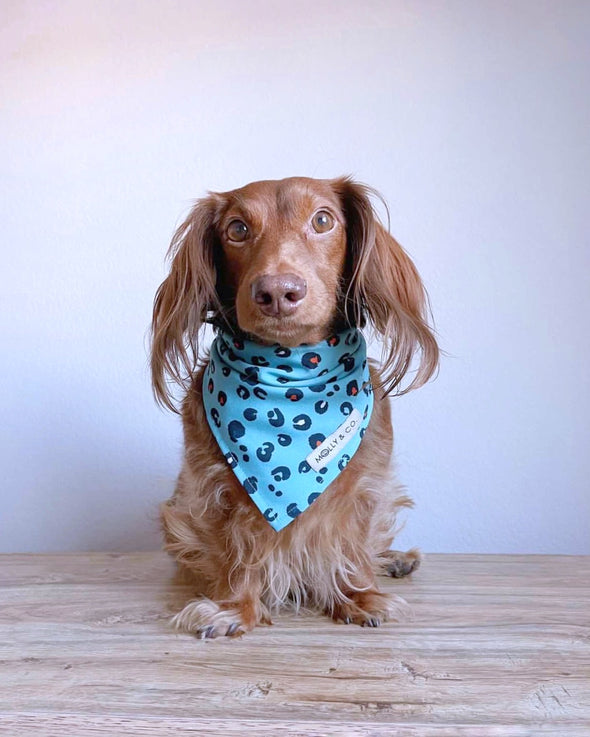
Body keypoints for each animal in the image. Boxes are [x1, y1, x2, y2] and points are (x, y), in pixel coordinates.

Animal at [153, 175, 440, 636]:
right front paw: (233, 608)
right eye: (237, 229)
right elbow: (235, 553)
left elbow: (353, 545)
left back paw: (396, 560)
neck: (290, 381)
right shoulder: (214, 491)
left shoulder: (364, 486)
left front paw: (358, 596)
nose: (276, 291)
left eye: (322, 220)